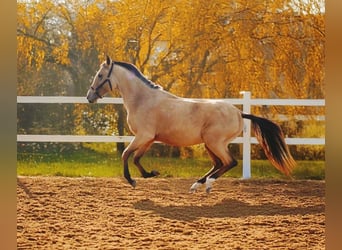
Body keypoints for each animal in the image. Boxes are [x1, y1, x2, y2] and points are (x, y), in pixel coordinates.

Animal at [87, 56, 296, 193]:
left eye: (100, 75)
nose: (89, 97)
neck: (143, 99)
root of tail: (239, 112)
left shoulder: (143, 136)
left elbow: (125, 154)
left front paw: (132, 181)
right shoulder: (149, 139)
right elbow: (137, 158)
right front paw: (151, 174)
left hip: (214, 142)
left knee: (230, 162)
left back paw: (208, 184)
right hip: (209, 144)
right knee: (219, 163)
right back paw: (197, 184)